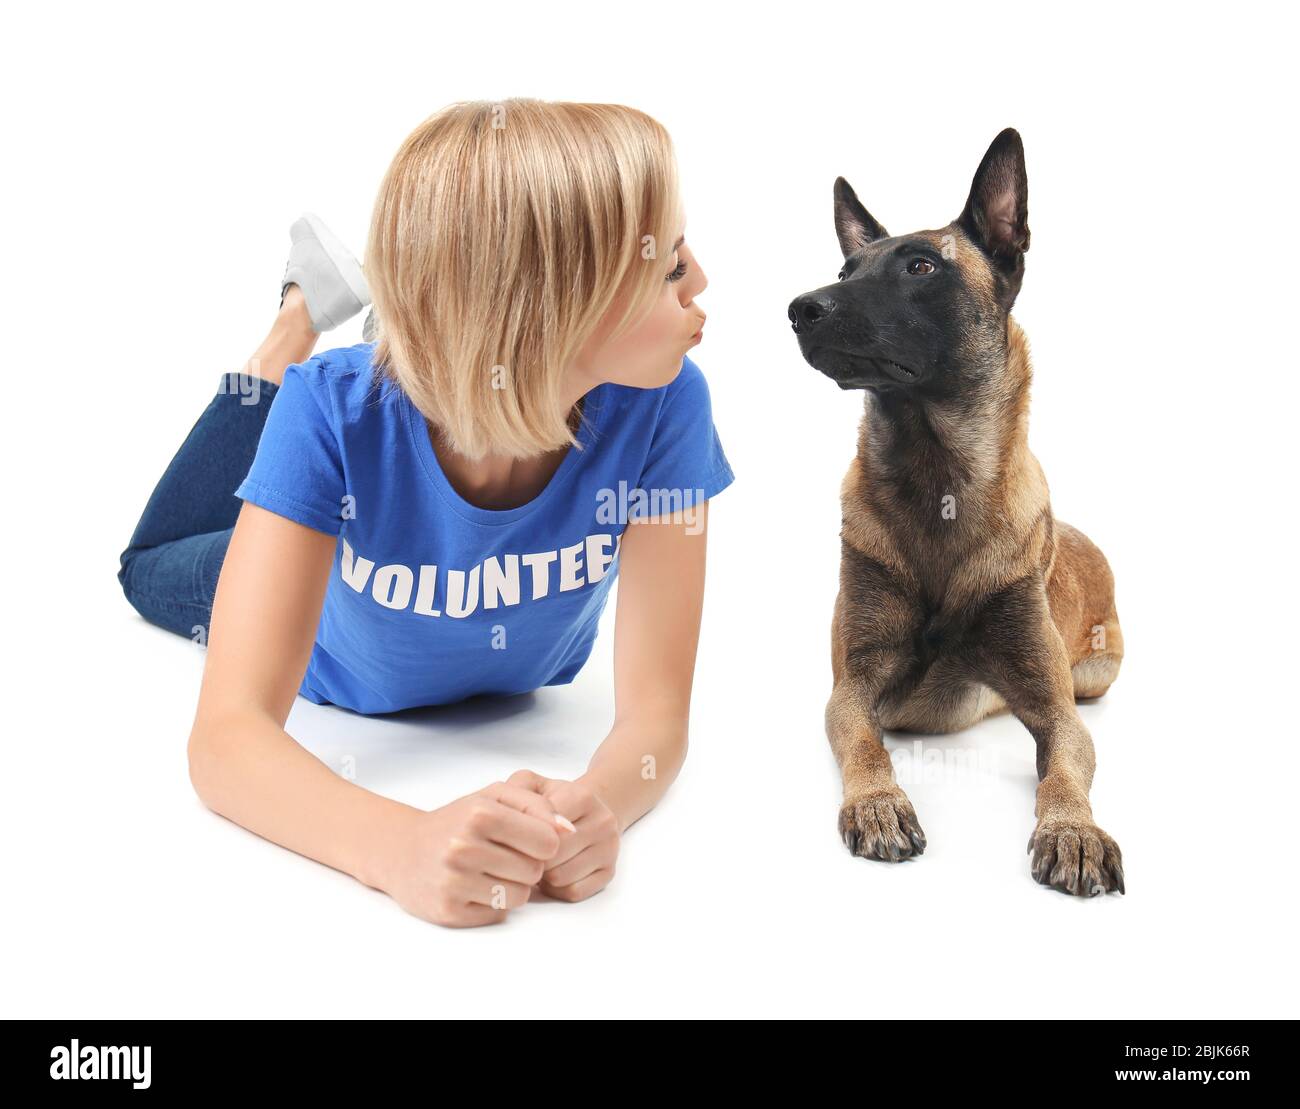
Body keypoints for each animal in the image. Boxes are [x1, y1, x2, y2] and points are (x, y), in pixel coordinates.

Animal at [785, 130, 1123, 894]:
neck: (937, 480)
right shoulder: (850, 688)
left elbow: (1065, 768)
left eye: (920, 266)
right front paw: (879, 803)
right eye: (845, 268)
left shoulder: (1056, 707)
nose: (800, 307)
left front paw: (1073, 829)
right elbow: (867, 747)